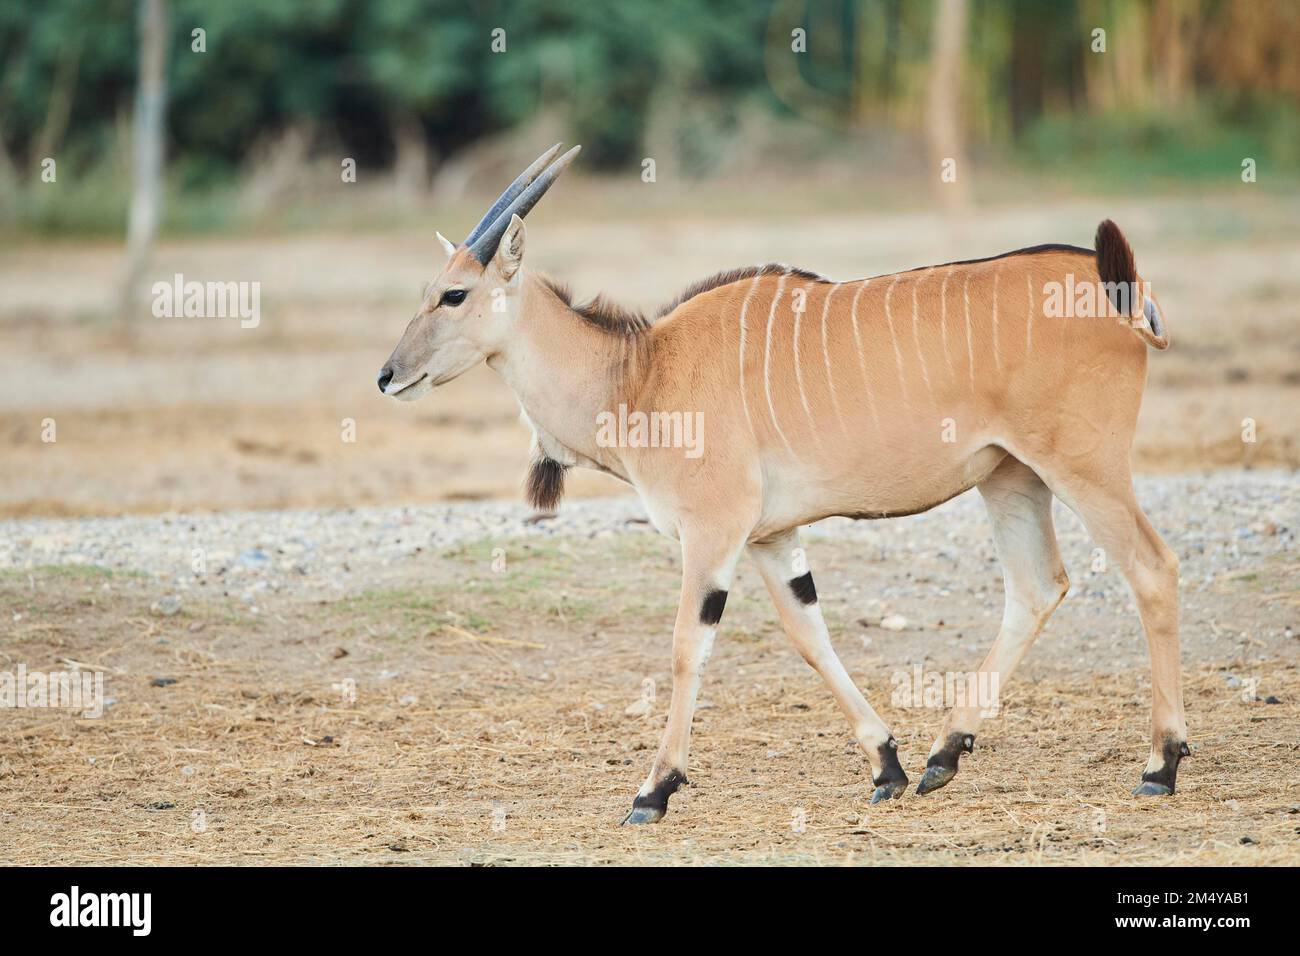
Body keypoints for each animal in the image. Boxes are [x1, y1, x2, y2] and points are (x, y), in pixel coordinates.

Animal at [377, 141, 1190, 822]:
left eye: (453, 295)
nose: (387, 376)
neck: (641, 372)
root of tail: (1117, 286)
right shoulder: (771, 538)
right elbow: (809, 637)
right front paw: (886, 766)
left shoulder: (713, 531)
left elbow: (687, 646)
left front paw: (654, 789)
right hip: (1011, 477)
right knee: (1037, 585)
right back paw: (943, 754)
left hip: (1083, 467)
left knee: (1151, 569)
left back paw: (1161, 763)